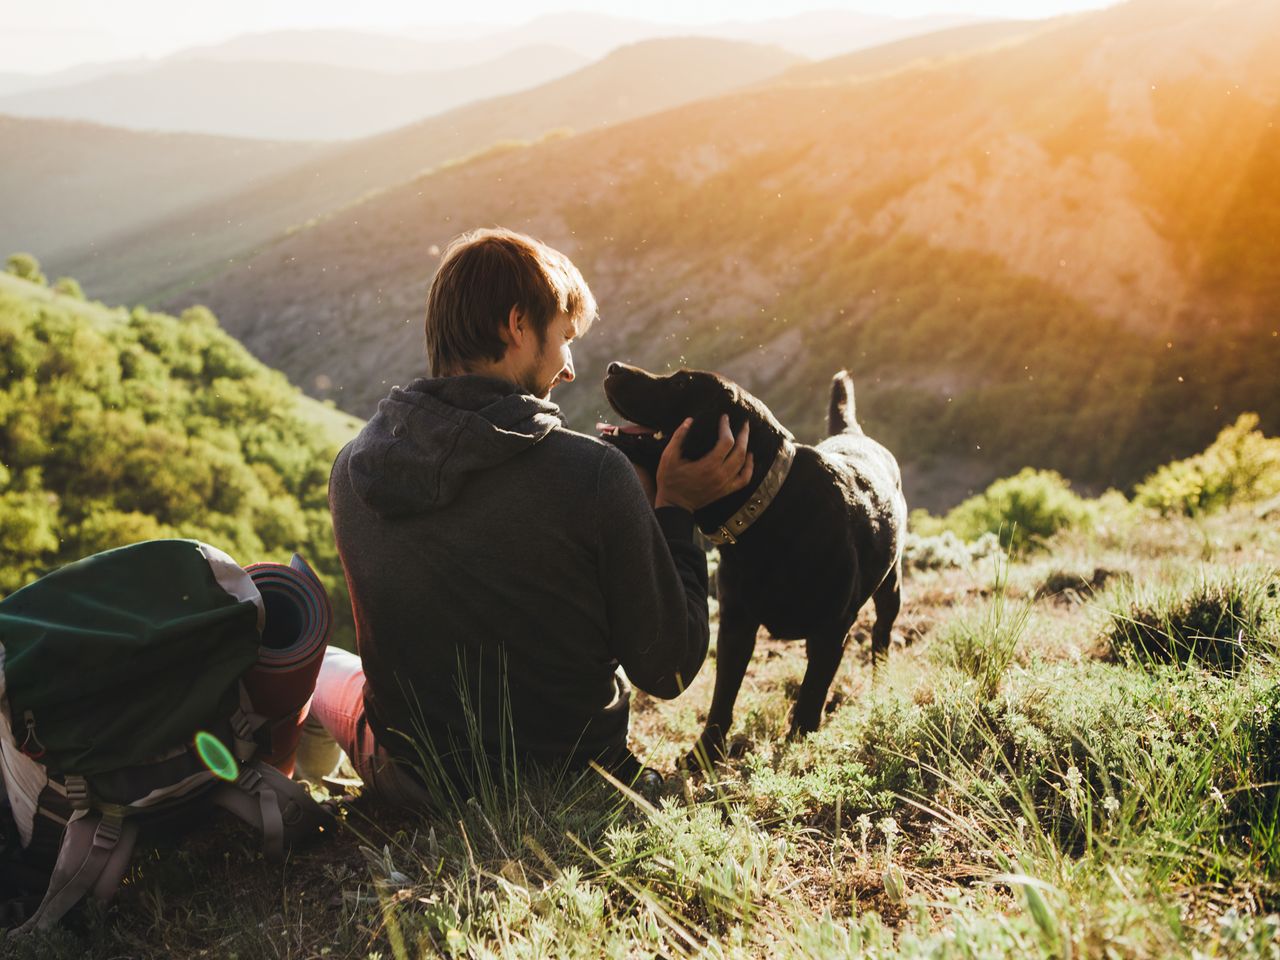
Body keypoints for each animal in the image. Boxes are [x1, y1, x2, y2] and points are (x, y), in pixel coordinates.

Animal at [596, 360, 906, 768]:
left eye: (680, 384)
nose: (613, 366)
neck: (767, 510)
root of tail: (853, 434)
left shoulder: (830, 632)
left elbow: (810, 697)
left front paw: (797, 750)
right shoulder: (736, 625)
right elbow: (723, 697)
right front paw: (705, 753)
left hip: (891, 588)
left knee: (881, 637)